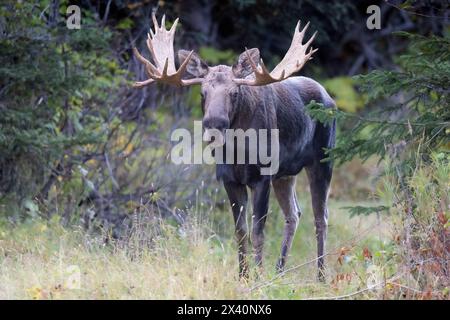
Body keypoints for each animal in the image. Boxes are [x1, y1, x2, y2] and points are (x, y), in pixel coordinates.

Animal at [132, 13, 336, 278]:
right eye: (203, 92)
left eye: (235, 92)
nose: (214, 124)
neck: (238, 153)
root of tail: (329, 97)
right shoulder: (229, 179)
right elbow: (240, 232)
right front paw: (243, 276)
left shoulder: (262, 177)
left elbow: (258, 232)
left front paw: (258, 276)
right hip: (285, 174)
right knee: (294, 213)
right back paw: (279, 270)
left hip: (322, 161)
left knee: (321, 217)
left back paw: (320, 276)